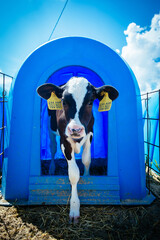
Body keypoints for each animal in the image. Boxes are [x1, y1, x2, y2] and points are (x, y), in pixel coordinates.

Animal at [37, 77, 118, 223]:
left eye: (90, 102)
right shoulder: (65, 140)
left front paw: (87, 176)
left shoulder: (90, 133)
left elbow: (86, 160)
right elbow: (74, 173)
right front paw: (74, 208)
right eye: (63, 101)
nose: (75, 129)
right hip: (49, 128)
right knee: (52, 148)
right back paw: (51, 168)